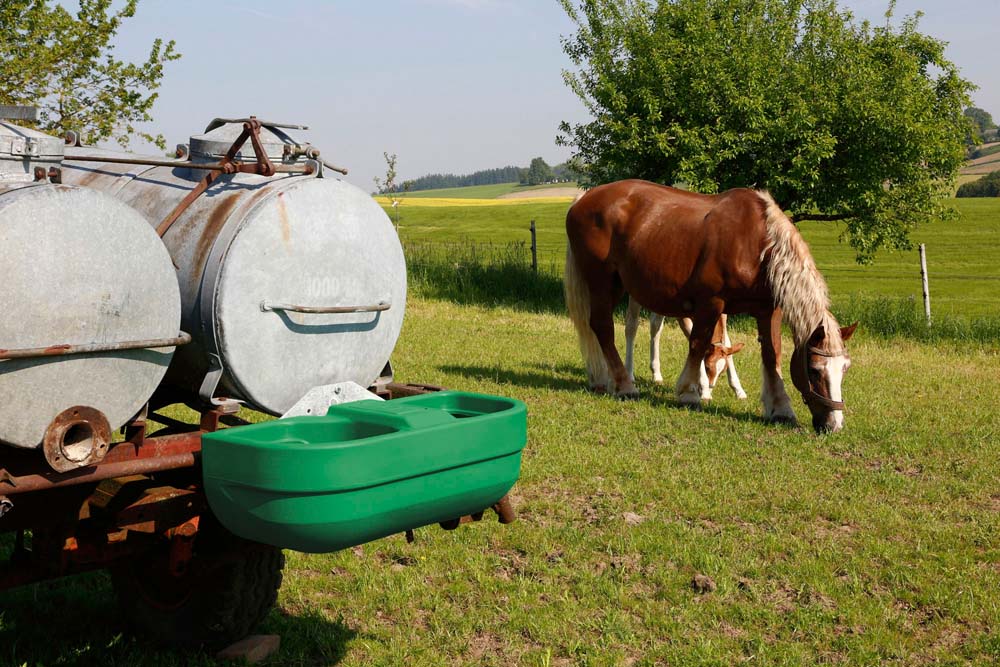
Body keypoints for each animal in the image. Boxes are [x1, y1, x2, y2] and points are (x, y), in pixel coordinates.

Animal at [564, 180, 860, 436]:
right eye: (815, 370)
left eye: (845, 368)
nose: (834, 424)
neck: (756, 245)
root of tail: (584, 199)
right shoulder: (711, 302)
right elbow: (698, 344)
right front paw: (689, 392)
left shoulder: (768, 310)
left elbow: (771, 355)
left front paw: (781, 409)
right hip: (602, 282)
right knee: (604, 327)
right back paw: (624, 384)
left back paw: (602, 378)